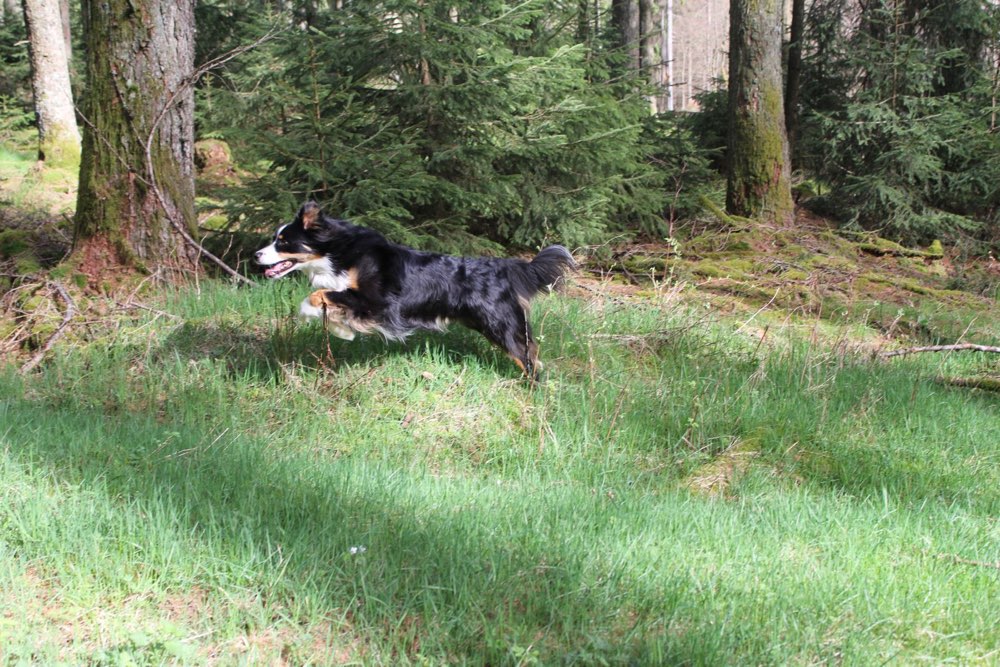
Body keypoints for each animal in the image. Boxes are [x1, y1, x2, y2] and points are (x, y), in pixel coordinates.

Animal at [254, 201, 576, 378]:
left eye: (283, 242)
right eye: (275, 239)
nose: (256, 255)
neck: (339, 252)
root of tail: (505, 267)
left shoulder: (379, 302)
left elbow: (319, 295)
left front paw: (315, 315)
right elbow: (332, 302)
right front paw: (342, 330)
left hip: (501, 324)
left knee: (528, 356)